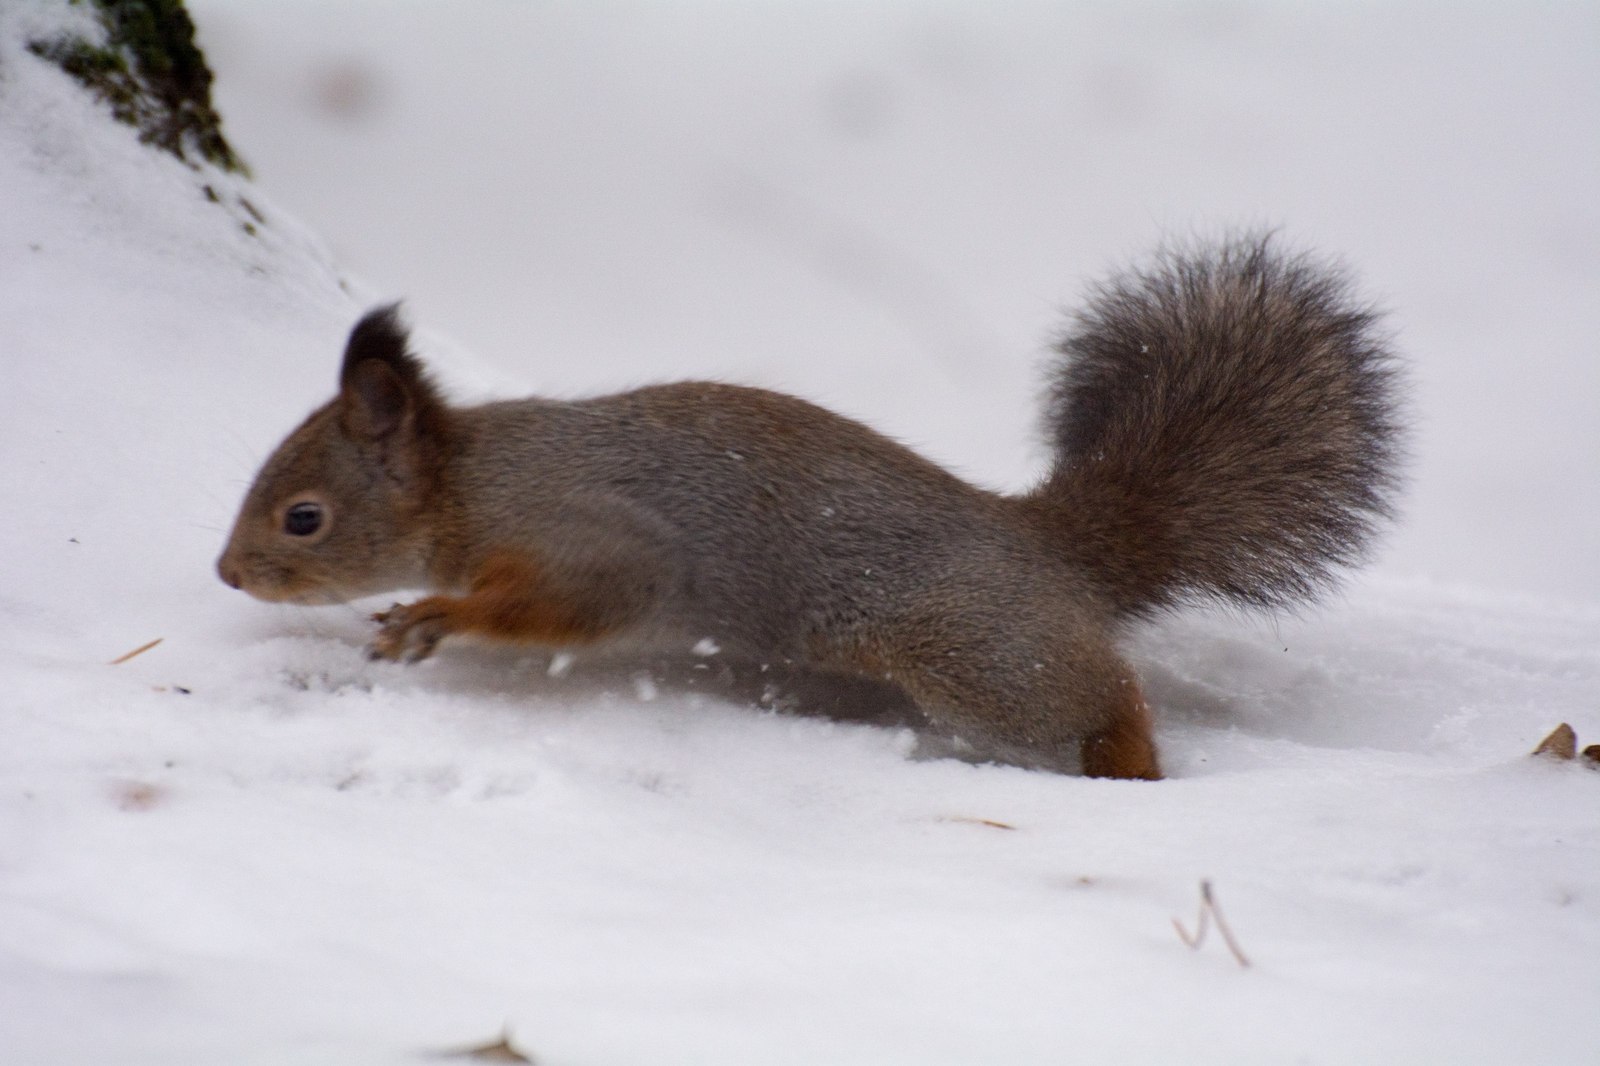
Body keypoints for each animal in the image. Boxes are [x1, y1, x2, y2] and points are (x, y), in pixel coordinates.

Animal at [216, 236, 1401, 777]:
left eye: (303, 516)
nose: (228, 575)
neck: (470, 482)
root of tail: (1045, 542)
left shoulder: (588, 536)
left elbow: (579, 598)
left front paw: (434, 618)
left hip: (976, 649)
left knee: (1101, 693)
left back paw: (1131, 770)